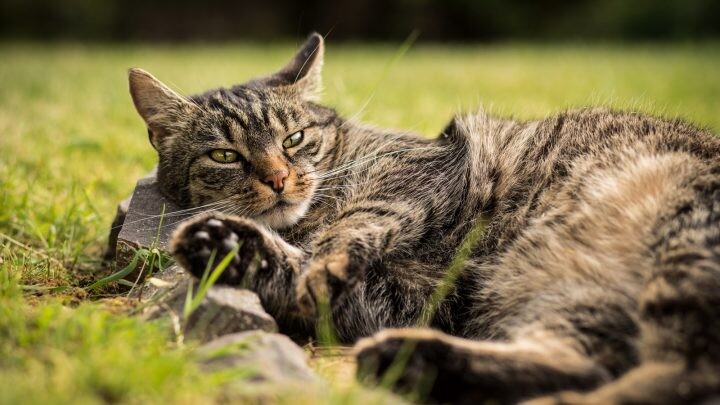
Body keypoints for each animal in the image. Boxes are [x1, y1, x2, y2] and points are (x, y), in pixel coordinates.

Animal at [128, 33, 720, 402]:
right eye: (224, 156)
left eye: (294, 139)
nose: (277, 178)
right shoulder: (402, 300)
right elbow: (307, 279)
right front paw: (228, 246)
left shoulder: (415, 171)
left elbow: (352, 227)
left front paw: (319, 256)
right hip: (573, 295)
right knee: (592, 365)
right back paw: (412, 360)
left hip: (684, 236)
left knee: (686, 374)